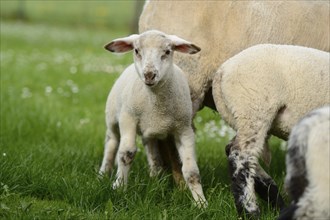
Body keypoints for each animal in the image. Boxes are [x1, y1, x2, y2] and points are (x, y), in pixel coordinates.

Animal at [98, 30, 206, 207]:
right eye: (136, 50)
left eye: (167, 51)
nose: (149, 75)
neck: (156, 103)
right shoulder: (128, 118)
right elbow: (126, 153)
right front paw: (119, 187)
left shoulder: (184, 129)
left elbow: (191, 170)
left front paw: (201, 203)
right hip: (113, 117)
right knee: (112, 143)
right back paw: (103, 173)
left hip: (149, 131)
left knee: (151, 150)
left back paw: (155, 177)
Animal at [213, 43, 328, 216]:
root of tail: (222, 70)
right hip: (254, 108)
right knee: (241, 155)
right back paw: (250, 211)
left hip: (246, 116)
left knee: (236, 150)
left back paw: (274, 200)